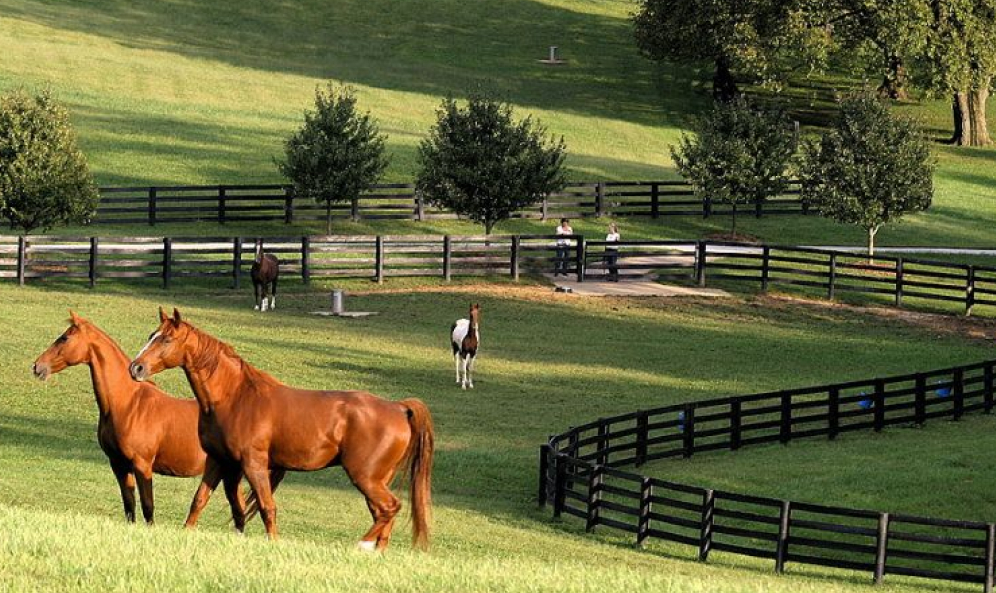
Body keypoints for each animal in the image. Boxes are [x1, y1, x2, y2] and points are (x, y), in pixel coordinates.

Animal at [31, 312, 249, 524]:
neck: (128, 404)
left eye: (65, 338)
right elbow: (129, 506)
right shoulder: (118, 464)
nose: (37, 366)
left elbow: (147, 507)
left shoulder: (142, 465)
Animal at [127, 310, 432, 552]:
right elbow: (200, 501)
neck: (235, 397)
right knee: (383, 513)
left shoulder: (254, 464)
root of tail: (398, 408)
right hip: (376, 480)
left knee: (390, 508)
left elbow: (266, 507)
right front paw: (187, 533)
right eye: (152, 335)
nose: (136, 367)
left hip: (365, 477)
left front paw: (273, 543)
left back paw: (362, 545)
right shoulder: (218, 461)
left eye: (166, 339)